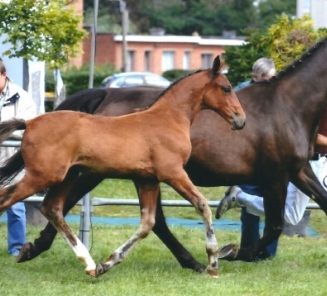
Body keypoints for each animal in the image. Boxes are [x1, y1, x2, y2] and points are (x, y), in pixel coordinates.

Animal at [0, 56, 246, 278]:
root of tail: (29, 123)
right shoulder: (173, 173)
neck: (169, 119)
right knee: (7, 199)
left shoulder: (148, 180)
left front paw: (106, 264)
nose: (241, 120)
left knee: (52, 208)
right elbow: (202, 205)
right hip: (42, 177)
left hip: (66, 176)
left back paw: (89, 264)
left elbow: (148, 223)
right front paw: (213, 262)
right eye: (226, 88)